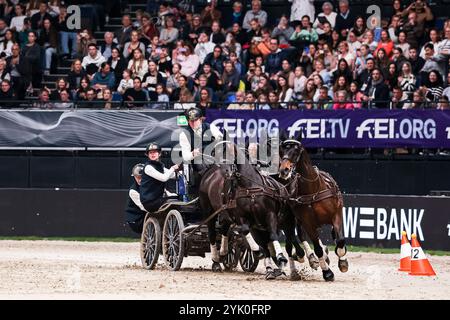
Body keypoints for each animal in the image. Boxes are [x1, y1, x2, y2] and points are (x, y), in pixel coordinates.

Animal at [278, 134, 348, 282]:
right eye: (282, 151)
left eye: (296, 150)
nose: (284, 170)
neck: (313, 190)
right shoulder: (307, 222)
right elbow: (317, 248)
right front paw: (327, 272)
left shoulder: (336, 215)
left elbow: (340, 241)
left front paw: (343, 261)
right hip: (292, 218)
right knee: (294, 239)